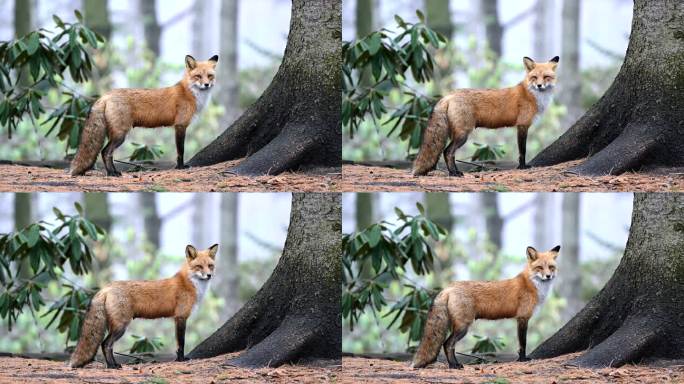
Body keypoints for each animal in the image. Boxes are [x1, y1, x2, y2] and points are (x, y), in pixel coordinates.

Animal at [68, 243, 218, 368]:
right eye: (199, 267)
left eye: (210, 266)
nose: (209, 275)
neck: (190, 284)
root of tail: (106, 287)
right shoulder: (181, 317)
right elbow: (181, 343)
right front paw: (181, 360)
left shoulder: (177, 318)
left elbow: (178, 343)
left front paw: (178, 359)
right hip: (121, 326)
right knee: (105, 344)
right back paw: (112, 366)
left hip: (114, 325)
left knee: (106, 345)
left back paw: (113, 364)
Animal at [69, 54, 219, 177]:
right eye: (198, 76)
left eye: (210, 76)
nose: (206, 84)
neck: (190, 93)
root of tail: (105, 95)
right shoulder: (180, 125)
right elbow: (180, 151)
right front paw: (180, 167)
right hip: (120, 134)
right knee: (105, 152)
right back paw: (112, 173)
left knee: (105, 152)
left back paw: (111, 172)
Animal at [412, 246, 560, 368]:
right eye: (540, 267)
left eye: (551, 267)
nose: (548, 276)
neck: (532, 284)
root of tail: (449, 287)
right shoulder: (523, 317)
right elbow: (522, 343)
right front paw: (522, 360)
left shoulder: (521, 318)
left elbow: (521, 343)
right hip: (463, 326)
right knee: (447, 344)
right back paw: (454, 365)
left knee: (447, 344)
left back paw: (452, 364)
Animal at [414, 56, 560, 176]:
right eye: (534, 77)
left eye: (546, 77)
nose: (539, 85)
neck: (532, 95)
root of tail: (449, 95)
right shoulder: (523, 125)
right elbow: (522, 151)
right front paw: (522, 167)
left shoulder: (522, 126)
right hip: (463, 134)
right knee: (447, 152)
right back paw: (454, 173)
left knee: (447, 152)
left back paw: (453, 172)